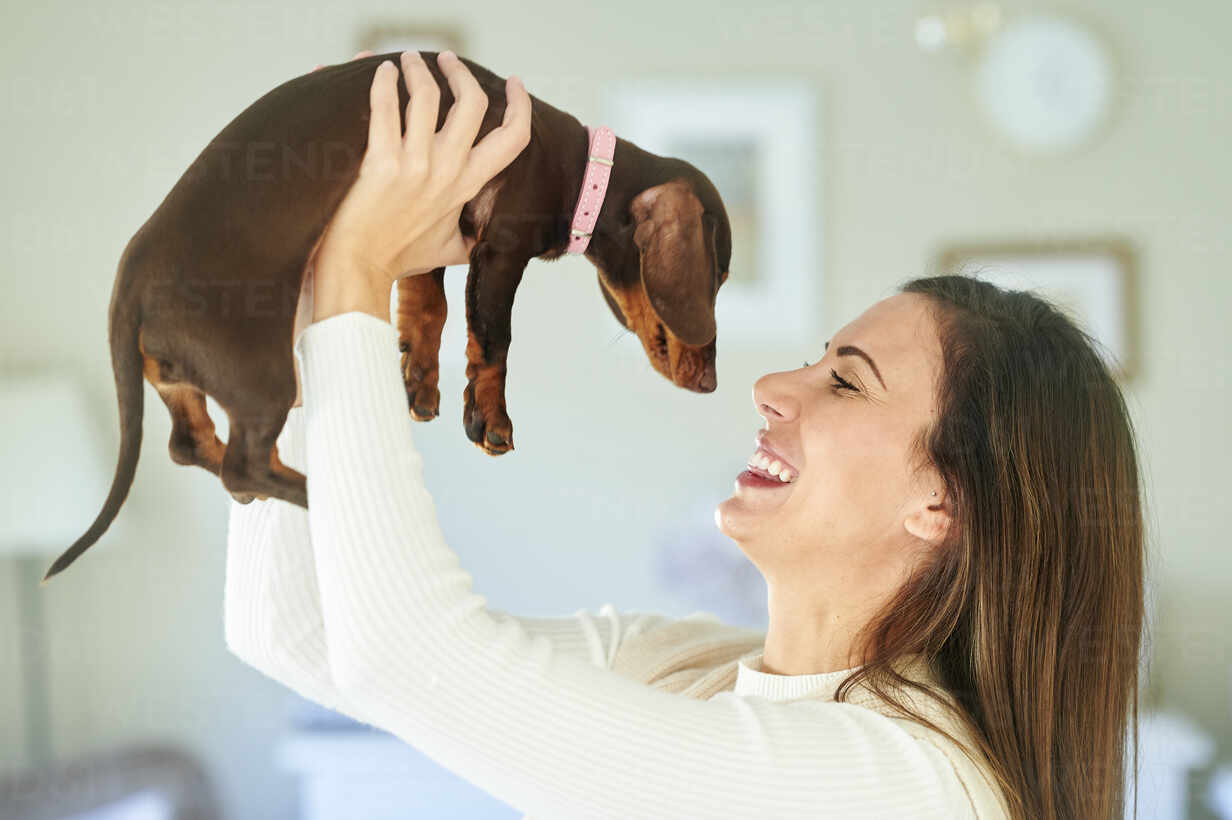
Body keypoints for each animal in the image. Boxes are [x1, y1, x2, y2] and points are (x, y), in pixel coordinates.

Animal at [45, 51, 729, 578]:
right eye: (718, 277)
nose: (713, 384)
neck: (581, 169)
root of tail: (130, 282)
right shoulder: (502, 247)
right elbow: (494, 341)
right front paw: (492, 420)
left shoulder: (440, 239)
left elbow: (430, 308)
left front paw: (421, 384)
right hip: (263, 373)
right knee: (241, 463)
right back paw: (316, 490)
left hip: (181, 375)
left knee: (191, 446)